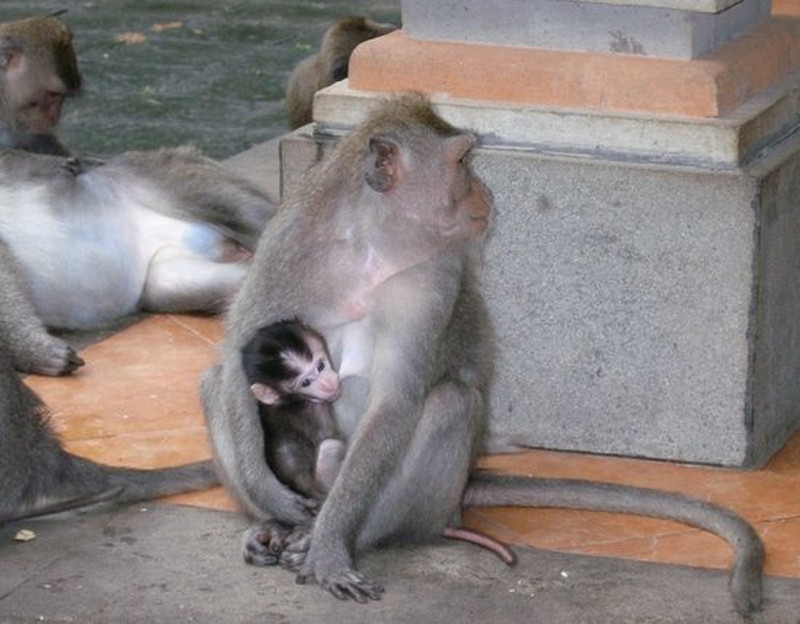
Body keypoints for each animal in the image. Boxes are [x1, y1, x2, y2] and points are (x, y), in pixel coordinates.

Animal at [241, 320, 516, 568]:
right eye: (305, 382)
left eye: (320, 365)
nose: (329, 381)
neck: (287, 402)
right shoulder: (314, 410)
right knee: (330, 450)